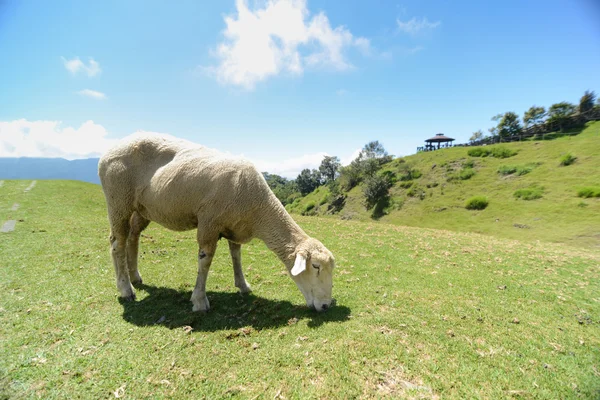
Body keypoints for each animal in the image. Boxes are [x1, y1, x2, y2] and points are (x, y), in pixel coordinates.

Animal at [96, 134, 336, 312]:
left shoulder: (235, 226)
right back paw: (126, 289)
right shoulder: (209, 223)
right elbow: (205, 261)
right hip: (118, 199)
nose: (325, 306)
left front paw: (243, 285)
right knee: (117, 243)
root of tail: (109, 150)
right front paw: (200, 301)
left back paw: (135, 277)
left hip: (141, 208)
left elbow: (236, 255)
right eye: (315, 266)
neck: (257, 208)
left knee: (133, 237)